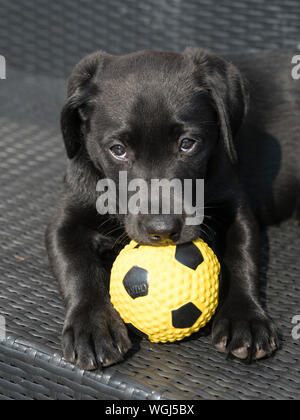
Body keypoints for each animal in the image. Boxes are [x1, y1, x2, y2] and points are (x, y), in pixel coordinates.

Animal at [45, 50, 300, 370]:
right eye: (118, 150)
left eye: (187, 144)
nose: (163, 229)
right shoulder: (64, 220)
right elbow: (77, 267)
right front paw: (92, 326)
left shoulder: (237, 210)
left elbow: (242, 259)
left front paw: (246, 320)